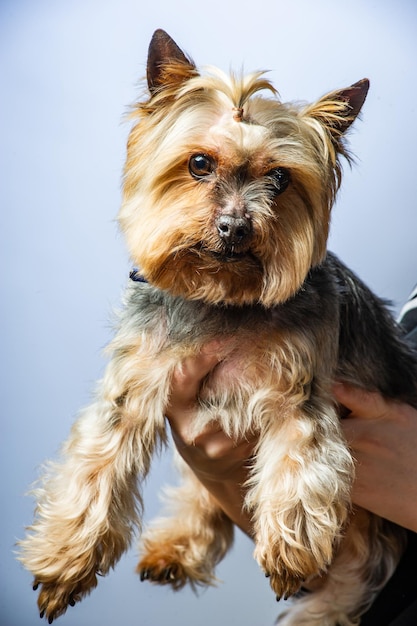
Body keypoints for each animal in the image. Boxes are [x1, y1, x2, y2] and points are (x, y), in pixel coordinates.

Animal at [18, 30, 416, 624]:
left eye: (280, 179)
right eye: (199, 163)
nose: (233, 226)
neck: (222, 300)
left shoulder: (297, 388)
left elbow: (299, 458)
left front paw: (290, 553)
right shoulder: (136, 377)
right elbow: (98, 460)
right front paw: (66, 558)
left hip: (369, 550)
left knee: (344, 588)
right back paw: (175, 547)